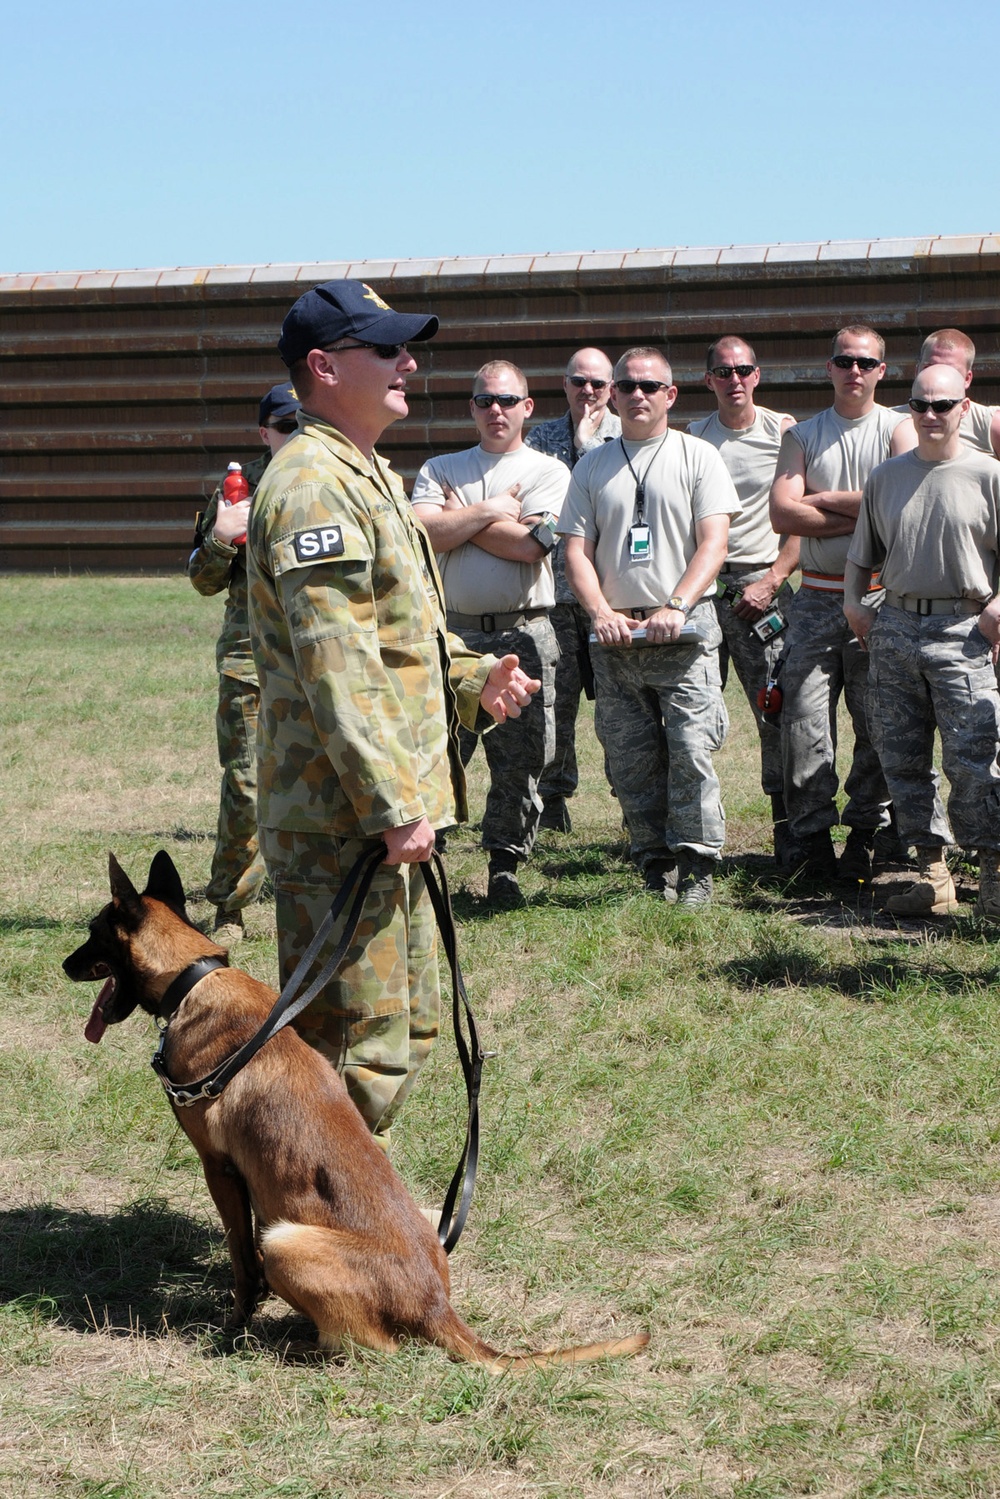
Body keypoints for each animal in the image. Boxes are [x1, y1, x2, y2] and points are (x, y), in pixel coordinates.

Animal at [66, 857, 653, 1373]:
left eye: (94, 931)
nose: (65, 964)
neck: (195, 978)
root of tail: (436, 1305)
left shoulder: (220, 1169)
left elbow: (241, 1260)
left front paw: (236, 1322)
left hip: (286, 1242)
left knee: (375, 1348)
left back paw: (292, 1348)